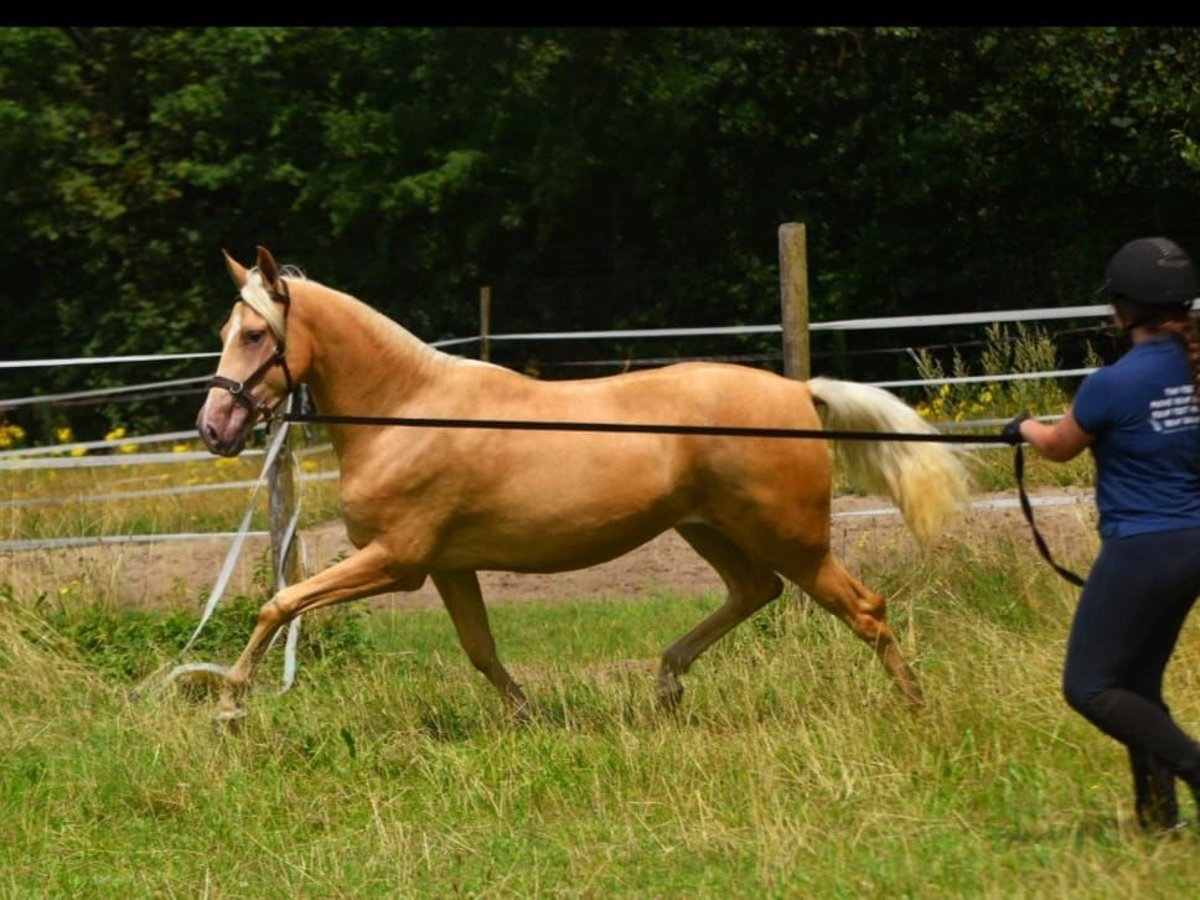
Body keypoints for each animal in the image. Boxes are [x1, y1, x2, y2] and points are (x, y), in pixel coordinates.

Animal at [196, 247, 964, 724]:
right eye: (226, 329)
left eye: (257, 336)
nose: (213, 428)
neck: (407, 410)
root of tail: (800, 393)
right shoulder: (448, 566)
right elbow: (481, 651)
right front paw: (529, 717)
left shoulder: (397, 561)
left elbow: (280, 602)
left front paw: (230, 705)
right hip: (709, 529)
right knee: (755, 592)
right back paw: (667, 681)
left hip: (790, 536)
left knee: (863, 608)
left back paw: (917, 709)